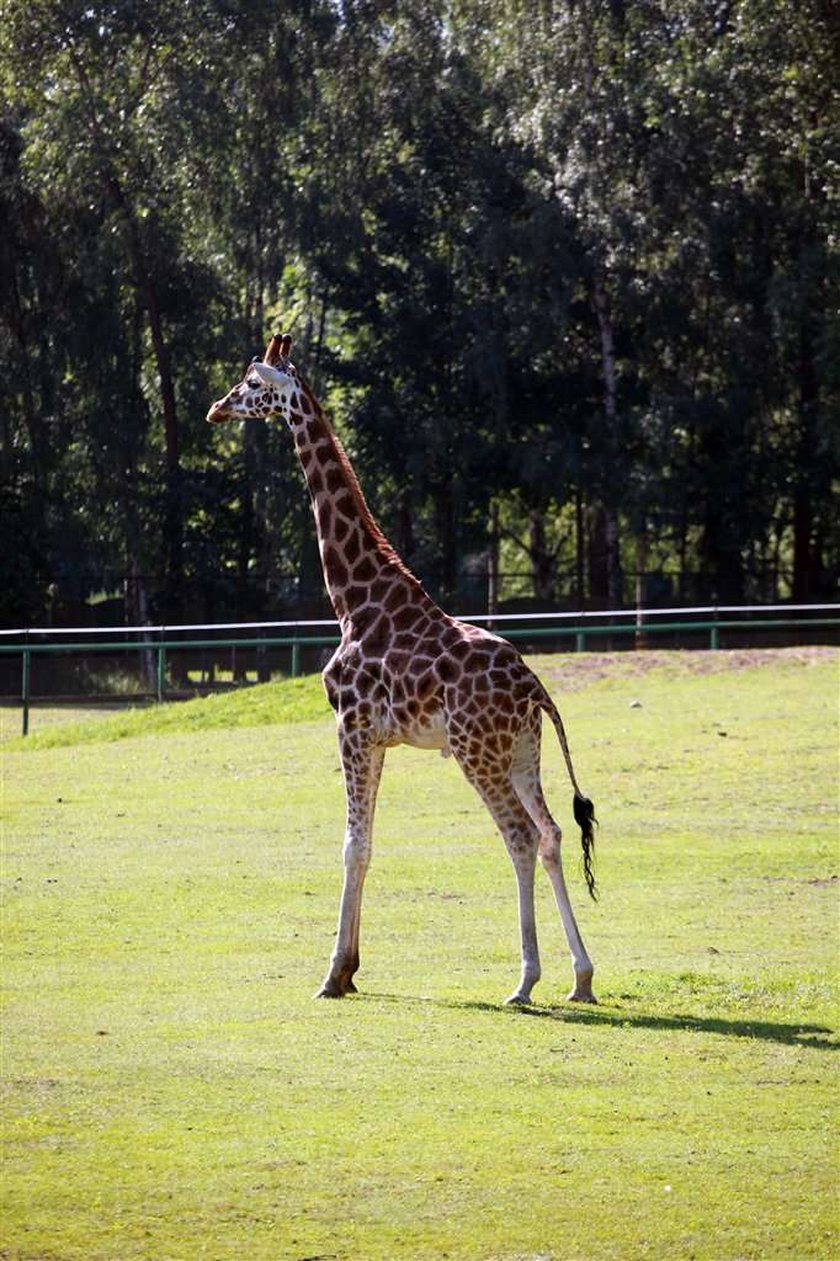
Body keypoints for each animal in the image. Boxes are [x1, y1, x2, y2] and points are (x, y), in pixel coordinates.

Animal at [206, 332, 597, 1003]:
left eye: (252, 383)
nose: (216, 408)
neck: (353, 599)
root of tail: (535, 689)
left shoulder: (351, 726)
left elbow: (353, 845)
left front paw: (334, 974)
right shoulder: (380, 737)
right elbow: (368, 841)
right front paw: (351, 968)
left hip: (475, 751)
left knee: (518, 836)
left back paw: (525, 981)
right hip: (523, 749)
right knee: (550, 833)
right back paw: (581, 977)